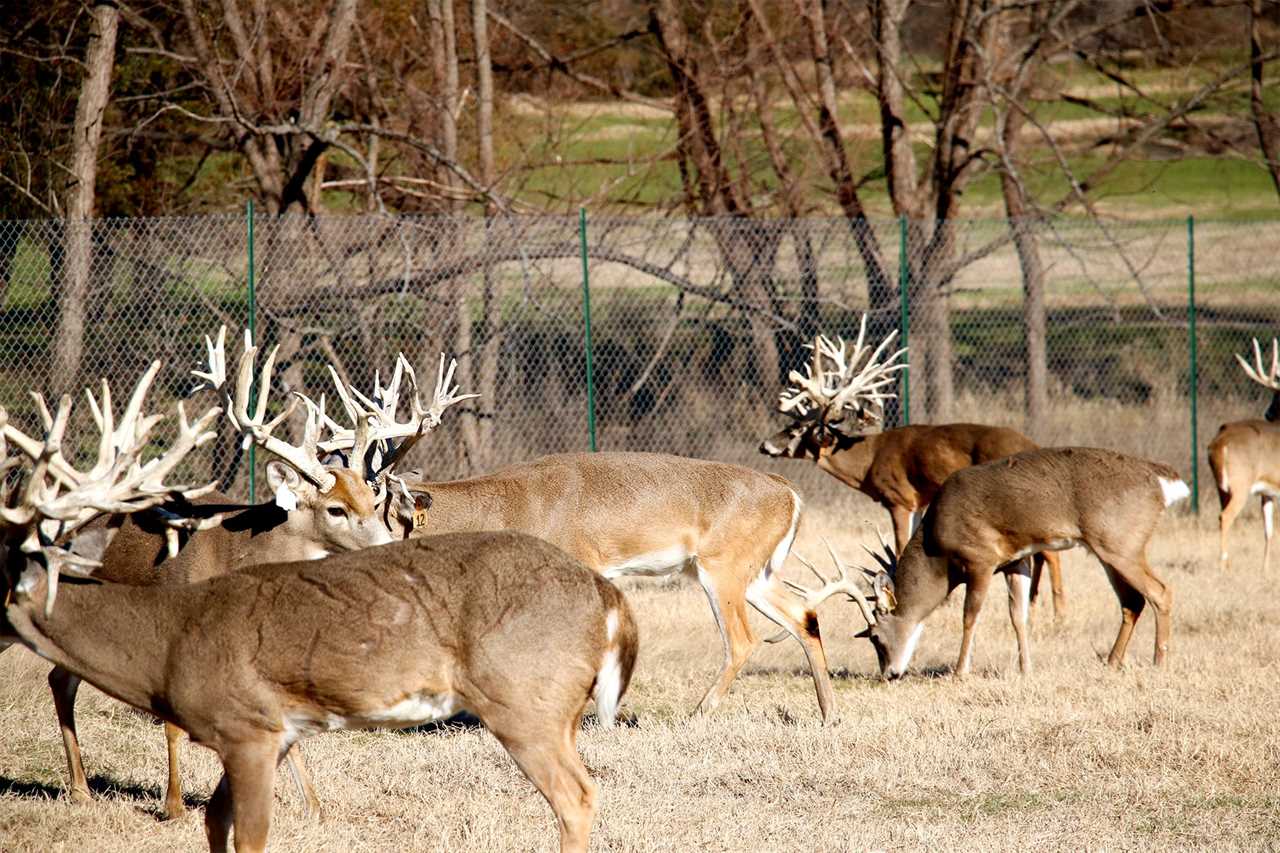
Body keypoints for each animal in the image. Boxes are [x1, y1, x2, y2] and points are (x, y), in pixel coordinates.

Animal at [0, 389, 640, 845]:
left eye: (376, 499)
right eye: (335, 506)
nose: (387, 545)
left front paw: (307, 804)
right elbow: (188, 744)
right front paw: (177, 805)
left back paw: (81, 787)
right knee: (61, 678)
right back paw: (81, 787)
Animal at [757, 318, 1070, 617]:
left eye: (796, 428)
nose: (765, 445)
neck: (869, 459)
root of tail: (1033, 445)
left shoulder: (899, 499)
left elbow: (900, 544)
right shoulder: (921, 500)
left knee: (1050, 552)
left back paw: (1058, 612)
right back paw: (1035, 602)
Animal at [788, 445, 1187, 676]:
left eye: (874, 636)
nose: (889, 674)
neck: (937, 548)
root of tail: (1163, 480)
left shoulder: (979, 558)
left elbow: (970, 616)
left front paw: (960, 671)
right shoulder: (1016, 560)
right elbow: (1019, 616)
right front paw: (1026, 669)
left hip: (1120, 541)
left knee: (1161, 592)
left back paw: (1159, 662)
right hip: (1110, 546)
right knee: (1132, 601)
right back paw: (1111, 662)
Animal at [1203, 335, 1280, 568]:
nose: (1268, 413)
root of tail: (1219, 443)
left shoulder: (1267, 491)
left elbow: (1269, 531)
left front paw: (1265, 570)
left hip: (1222, 487)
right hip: (1240, 483)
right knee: (1225, 517)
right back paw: (1223, 565)